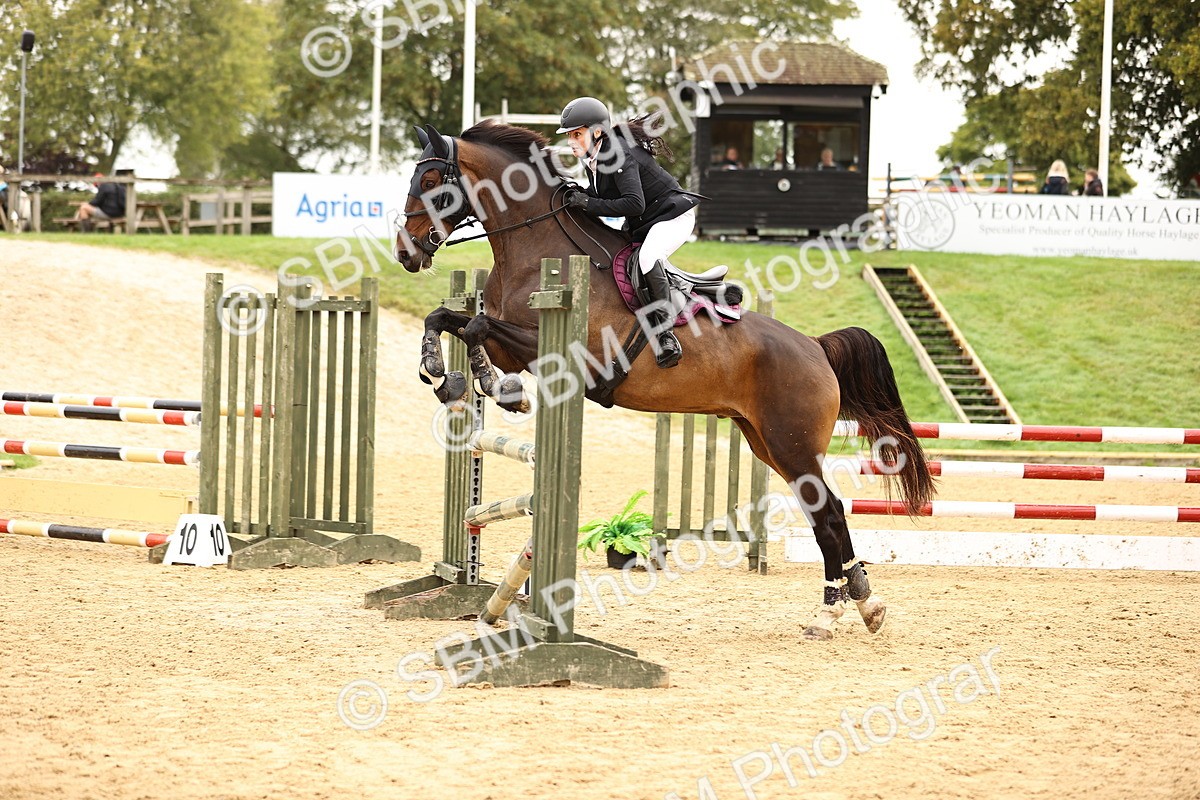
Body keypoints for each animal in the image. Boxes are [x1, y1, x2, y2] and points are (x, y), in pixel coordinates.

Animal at [395, 119, 935, 641]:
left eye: (431, 181)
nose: (405, 253)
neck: (533, 246)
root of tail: (816, 347)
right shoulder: (513, 344)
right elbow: (450, 319)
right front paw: (447, 376)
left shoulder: (569, 354)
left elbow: (476, 327)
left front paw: (495, 388)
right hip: (765, 443)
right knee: (827, 514)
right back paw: (860, 606)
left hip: (793, 446)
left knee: (829, 515)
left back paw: (838, 611)